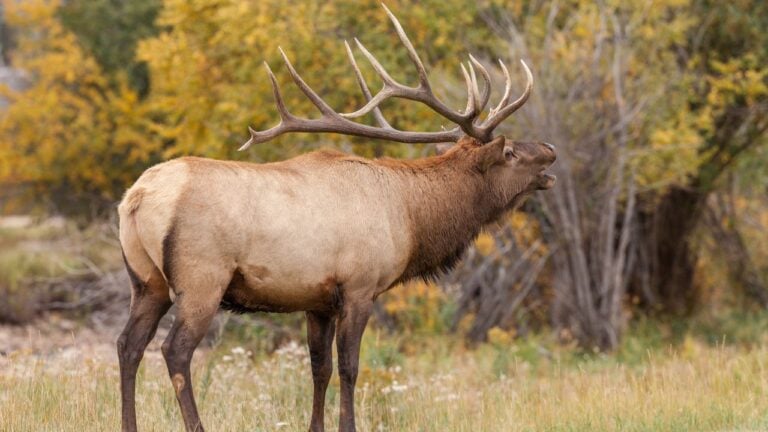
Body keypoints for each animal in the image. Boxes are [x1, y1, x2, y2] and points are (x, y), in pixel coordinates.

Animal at [116, 5, 555, 432]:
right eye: (510, 153)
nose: (550, 149)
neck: (410, 219)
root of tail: (136, 198)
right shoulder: (360, 286)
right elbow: (349, 368)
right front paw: (348, 425)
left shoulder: (318, 299)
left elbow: (319, 369)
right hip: (201, 277)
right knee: (174, 351)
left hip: (146, 281)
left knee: (128, 345)